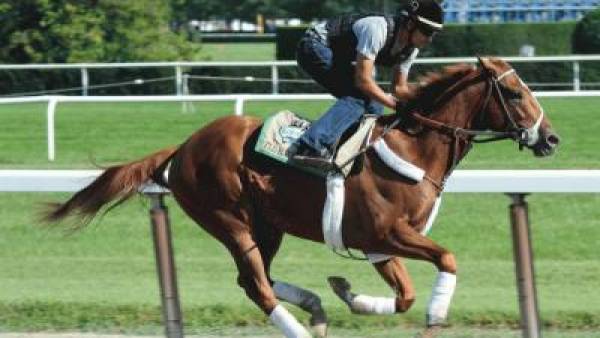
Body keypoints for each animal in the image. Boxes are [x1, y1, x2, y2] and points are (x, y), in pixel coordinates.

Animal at [45, 57, 556, 336]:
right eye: (514, 92)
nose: (550, 138)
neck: (413, 146)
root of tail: (183, 147)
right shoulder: (388, 233)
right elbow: (446, 260)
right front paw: (436, 315)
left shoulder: (376, 244)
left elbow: (405, 296)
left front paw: (351, 294)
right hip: (229, 221)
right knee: (258, 287)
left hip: (267, 226)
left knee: (258, 281)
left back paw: (315, 305)